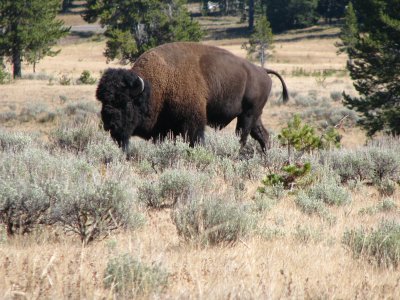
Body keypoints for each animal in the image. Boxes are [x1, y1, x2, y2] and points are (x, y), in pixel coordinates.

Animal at [96, 41, 288, 151]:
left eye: (126, 103)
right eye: (103, 101)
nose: (110, 123)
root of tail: (262, 70)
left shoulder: (192, 122)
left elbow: (194, 140)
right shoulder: (163, 128)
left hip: (247, 115)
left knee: (242, 137)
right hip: (254, 115)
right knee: (263, 135)